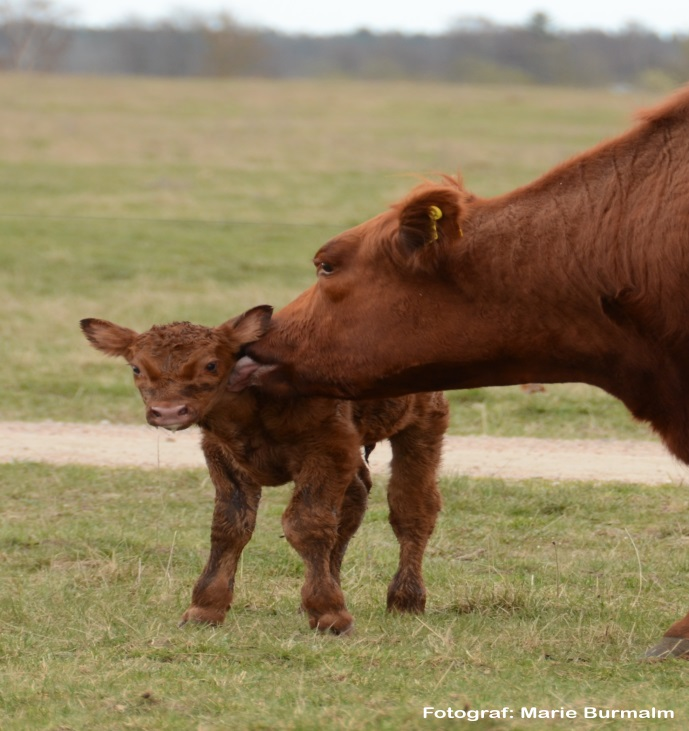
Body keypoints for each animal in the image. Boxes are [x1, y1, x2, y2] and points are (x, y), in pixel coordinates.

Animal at [80, 304, 448, 636]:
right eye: (136, 368)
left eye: (211, 364)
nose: (168, 411)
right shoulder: (223, 455)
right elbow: (230, 526)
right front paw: (205, 608)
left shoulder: (329, 447)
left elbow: (306, 523)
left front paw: (330, 614)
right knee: (355, 501)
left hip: (423, 426)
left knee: (412, 509)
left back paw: (406, 599)